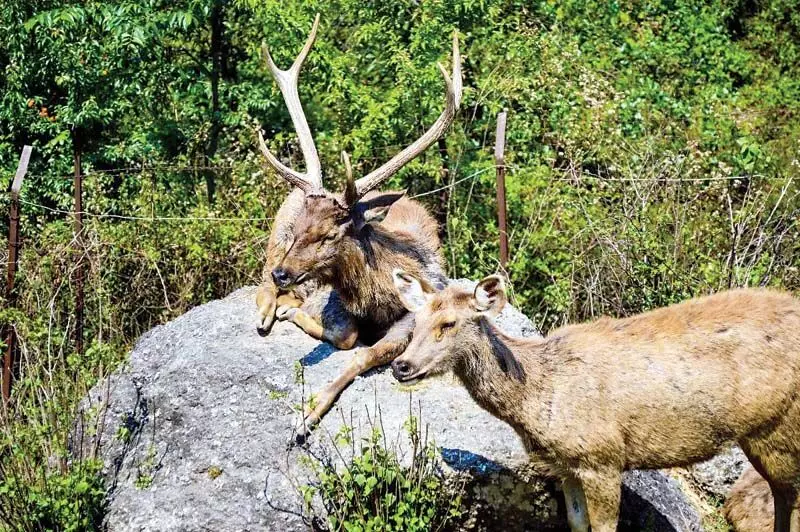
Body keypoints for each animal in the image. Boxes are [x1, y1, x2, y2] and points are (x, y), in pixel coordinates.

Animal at [250, 15, 462, 432]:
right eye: (300, 228)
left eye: (331, 233)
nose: (285, 272)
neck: (377, 296)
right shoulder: (333, 296)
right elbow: (347, 335)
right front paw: (296, 317)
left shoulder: (417, 311)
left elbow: (364, 352)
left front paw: (310, 412)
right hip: (274, 241)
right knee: (260, 284)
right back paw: (272, 309)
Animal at [390, 270, 800, 532]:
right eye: (415, 321)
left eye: (448, 324)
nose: (401, 365)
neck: (540, 398)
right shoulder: (567, 465)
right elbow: (576, 522)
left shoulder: (603, 457)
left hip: (777, 426)